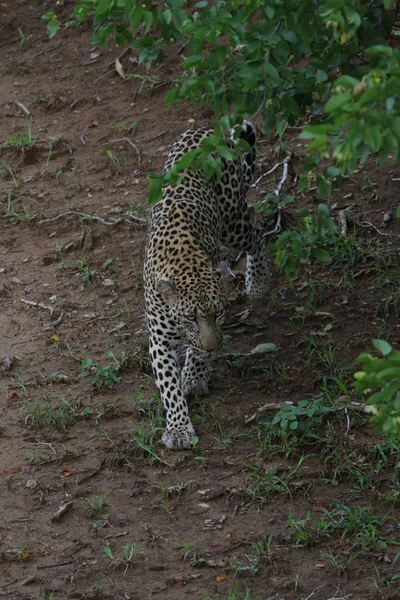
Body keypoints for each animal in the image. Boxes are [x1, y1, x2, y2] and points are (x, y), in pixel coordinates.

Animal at [144, 122, 268, 450]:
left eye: (220, 312)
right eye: (190, 317)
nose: (214, 347)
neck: (184, 261)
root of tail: (207, 128)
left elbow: (196, 352)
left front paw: (194, 376)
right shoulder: (159, 338)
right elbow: (168, 385)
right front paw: (178, 429)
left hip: (232, 222)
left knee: (257, 228)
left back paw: (258, 283)